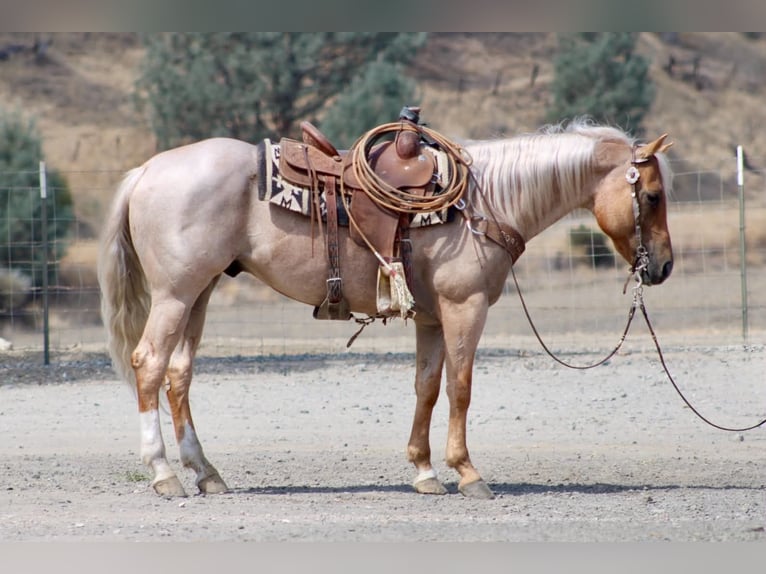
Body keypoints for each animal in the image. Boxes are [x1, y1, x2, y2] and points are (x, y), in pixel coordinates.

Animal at [98, 118, 674, 499]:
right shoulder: (465, 309)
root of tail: (147, 170)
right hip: (175, 294)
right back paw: (164, 475)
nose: (664, 266)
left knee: (178, 374)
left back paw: (206, 473)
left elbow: (427, 386)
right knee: (150, 364)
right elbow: (461, 387)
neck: (483, 202)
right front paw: (467, 473)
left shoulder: (432, 317)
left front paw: (424, 471)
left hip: (199, 293)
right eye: (651, 196)